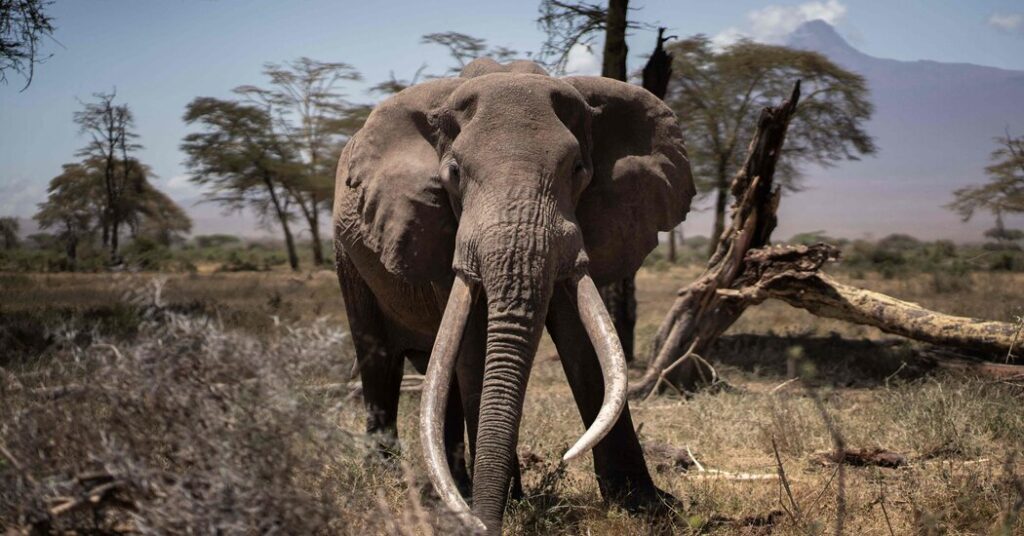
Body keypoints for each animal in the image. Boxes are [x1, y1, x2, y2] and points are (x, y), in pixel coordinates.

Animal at [332, 57, 696, 533]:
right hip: (347, 258)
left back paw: (458, 485)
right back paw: (392, 476)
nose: (487, 525)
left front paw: (645, 505)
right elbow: (473, 344)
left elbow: (582, 341)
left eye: (578, 169)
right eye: (453, 174)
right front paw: (502, 506)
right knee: (378, 359)